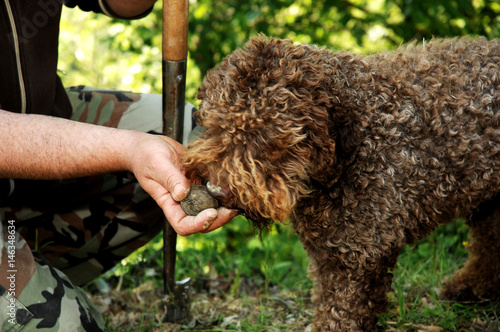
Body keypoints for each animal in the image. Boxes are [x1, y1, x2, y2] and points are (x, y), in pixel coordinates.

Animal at [184, 35, 500, 330]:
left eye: (268, 137)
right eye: (215, 125)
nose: (216, 189)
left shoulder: (359, 252)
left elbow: (342, 310)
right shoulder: (328, 250)